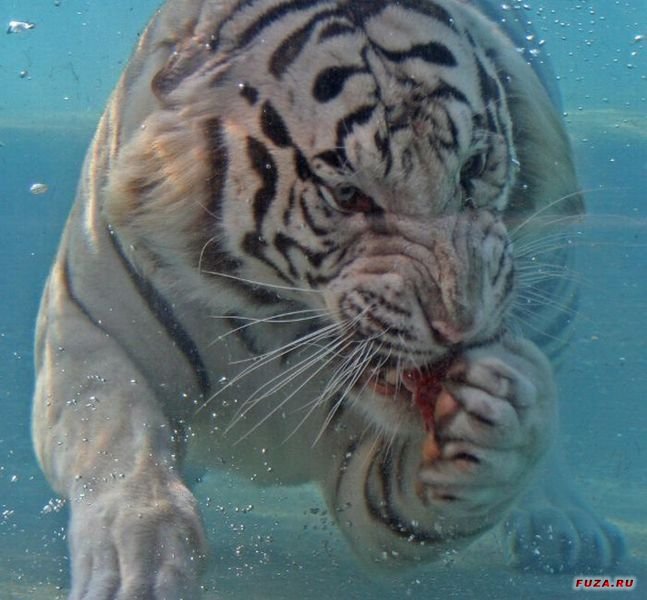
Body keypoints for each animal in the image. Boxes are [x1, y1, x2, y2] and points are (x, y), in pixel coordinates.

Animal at [32, 0, 625, 598]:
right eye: (348, 195)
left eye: (472, 168)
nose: (461, 327)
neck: (272, 317)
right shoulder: (85, 330)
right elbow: (115, 443)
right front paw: (136, 568)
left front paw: (501, 422)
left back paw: (564, 524)